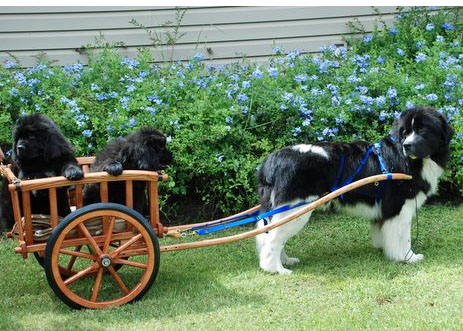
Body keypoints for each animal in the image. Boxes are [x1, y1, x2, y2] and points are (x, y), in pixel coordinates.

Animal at [260, 107, 454, 274]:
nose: (407, 145)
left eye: (422, 131)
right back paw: (276, 268)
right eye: (404, 133)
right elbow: (403, 238)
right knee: (273, 240)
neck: (409, 160)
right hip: (296, 208)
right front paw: (408, 257)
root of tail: (270, 161)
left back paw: (286, 260)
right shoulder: (400, 208)